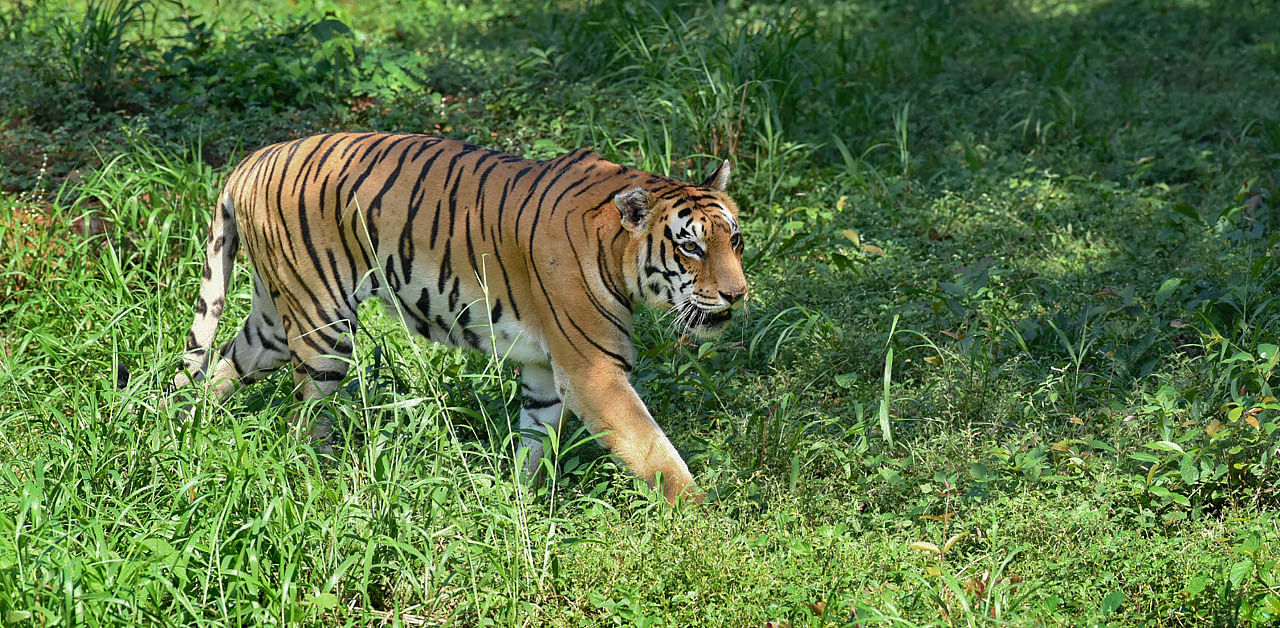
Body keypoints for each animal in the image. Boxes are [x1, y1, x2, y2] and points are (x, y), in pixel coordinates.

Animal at [172, 131, 747, 501]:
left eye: (735, 240)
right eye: (691, 248)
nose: (738, 294)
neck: (617, 251)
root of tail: (253, 160)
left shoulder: (545, 371)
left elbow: (535, 442)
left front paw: (519, 503)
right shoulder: (595, 372)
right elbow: (654, 452)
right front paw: (704, 520)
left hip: (273, 319)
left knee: (215, 367)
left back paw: (181, 429)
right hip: (322, 326)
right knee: (306, 423)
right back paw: (327, 484)